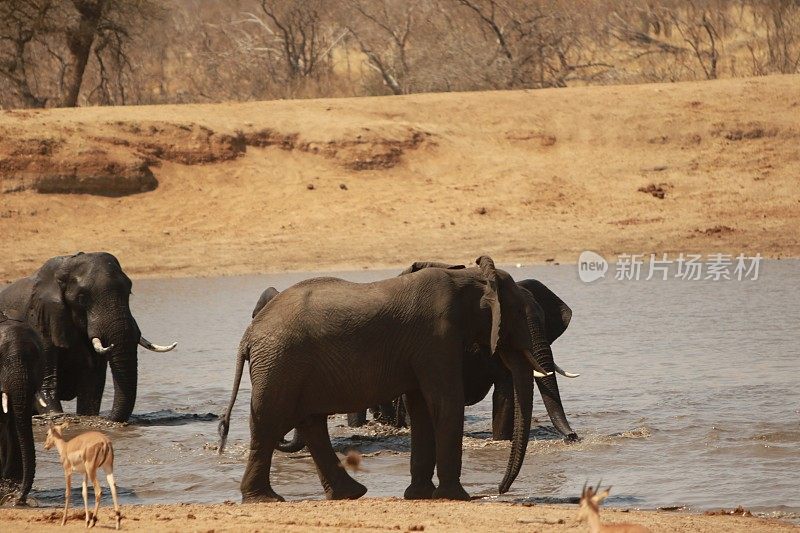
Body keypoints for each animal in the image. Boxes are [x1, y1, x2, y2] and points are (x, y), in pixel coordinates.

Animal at [0, 251, 177, 422]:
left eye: (129, 291)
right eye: (82, 298)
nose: (109, 419)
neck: (64, 268)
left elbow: (93, 381)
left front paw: (88, 416)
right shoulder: (40, 318)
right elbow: (46, 379)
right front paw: (56, 415)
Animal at [219, 256, 556, 500]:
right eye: (521, 316)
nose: (500, 490)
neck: (470, 278)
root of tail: (249, 335)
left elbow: (422, 407)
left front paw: (419, 496)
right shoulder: (436, 337)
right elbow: (446, 401)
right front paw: (457, 498)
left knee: (310, 423)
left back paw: (348, 494)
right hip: (280, 362)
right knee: (270, 421)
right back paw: (266, 499)